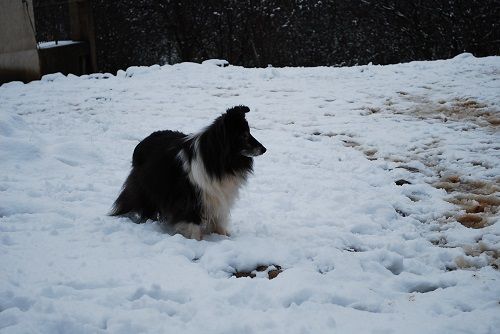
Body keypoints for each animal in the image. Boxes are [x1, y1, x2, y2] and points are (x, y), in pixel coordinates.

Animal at [109, 105, 266, 239]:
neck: (218, 159)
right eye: (244, 135)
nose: (264, 149)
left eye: (249, 132)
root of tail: (142, 143)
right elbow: (192, 222)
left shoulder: (217, 194)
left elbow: (218, 218)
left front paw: (223, 235)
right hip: (146, 186)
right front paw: (196, 240)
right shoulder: (191, 195)